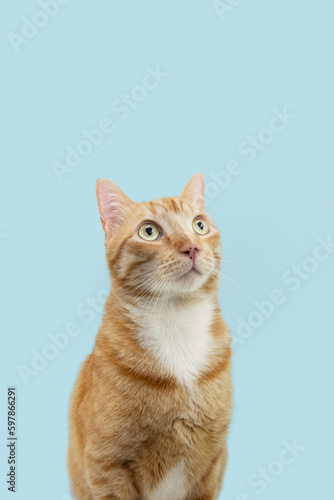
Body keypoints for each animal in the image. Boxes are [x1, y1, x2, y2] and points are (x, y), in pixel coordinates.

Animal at [67, 174, 232, 498]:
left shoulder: (212, 462)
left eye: (199, 225)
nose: (192, 247)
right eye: (149, 231)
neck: (176, 324)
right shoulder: (107, 465)